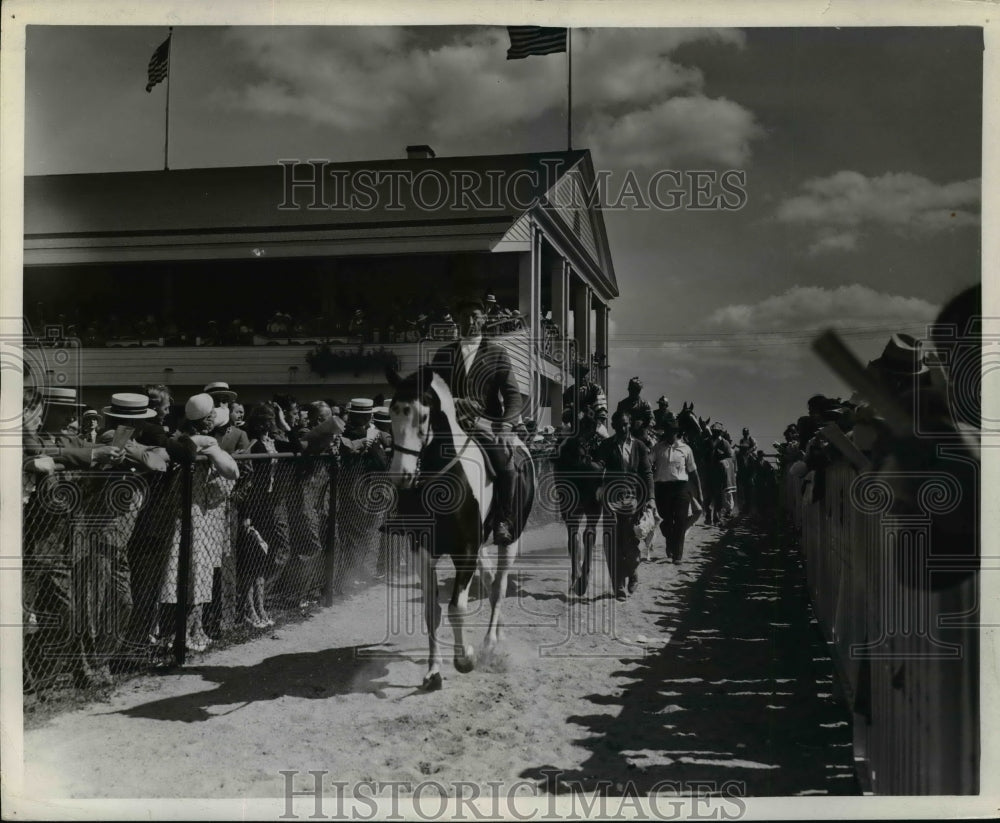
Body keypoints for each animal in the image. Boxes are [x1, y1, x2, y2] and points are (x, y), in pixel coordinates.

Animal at [386, 366, 536, 688]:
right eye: (391, 412)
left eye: (423, 416)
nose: (401, 475)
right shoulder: (422, 549)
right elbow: (432, 610)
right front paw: (433, 670)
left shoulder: (465, 551)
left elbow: (457, 607)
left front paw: (464, 658)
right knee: (490, 580)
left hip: (510, 540)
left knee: (498, 588)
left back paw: (490, 643)